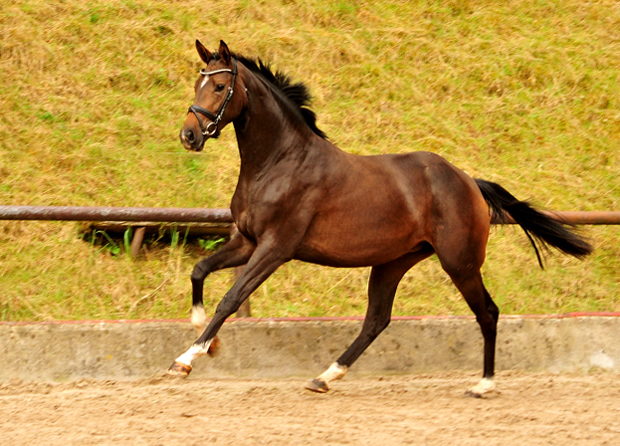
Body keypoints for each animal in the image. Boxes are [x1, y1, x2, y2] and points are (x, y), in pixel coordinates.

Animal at [168, 40, 592, 396]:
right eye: (197, 83)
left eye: (219, 87)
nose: (189, 135)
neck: (278, 162)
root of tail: (469, 181)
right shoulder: (247, 241)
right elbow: (200, 271)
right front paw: (207, 340)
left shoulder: (275, 248)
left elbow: (231, 298)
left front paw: (187, 359)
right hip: (393, 262)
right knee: (377, 320)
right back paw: (325, 377)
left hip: (460, 262)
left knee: (487, 313)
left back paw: (484, 384)